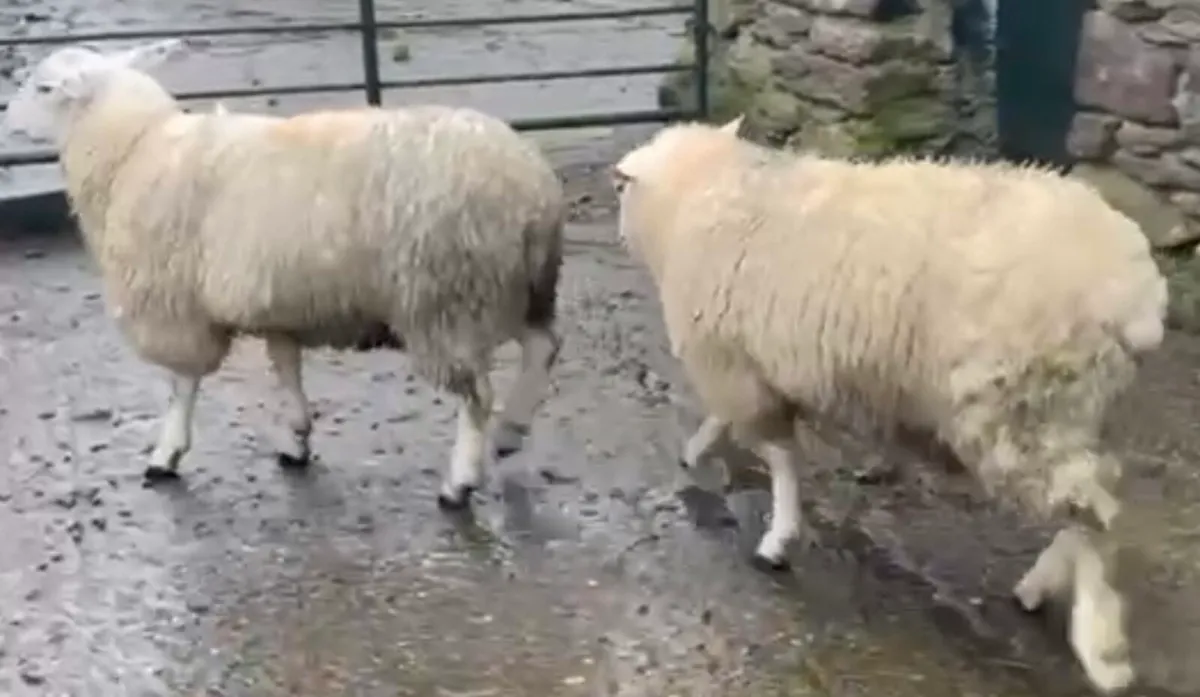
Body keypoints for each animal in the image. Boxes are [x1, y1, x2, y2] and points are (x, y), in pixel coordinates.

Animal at [2, 39, 565, 510]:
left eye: (44, 88)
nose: (6, 119)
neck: (134, 150)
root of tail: (529, 187)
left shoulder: (174, 302)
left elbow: (182, 383)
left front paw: (166, 453)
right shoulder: (278, 300)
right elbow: (286, 367)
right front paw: (297, 437)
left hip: (446, 298)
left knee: (477, 395)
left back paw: (460, 481)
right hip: (515, 287)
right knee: (543, 348)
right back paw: (511, 432)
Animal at [610, 115, 1169, 694]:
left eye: (621, 190)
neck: (706, 192)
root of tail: (1136, 297)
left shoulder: (735, 368)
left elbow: (781, 460)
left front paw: (777, 538)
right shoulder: (746, 370)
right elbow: (740, 431)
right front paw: (699, 450)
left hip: (1023, 411)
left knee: (1096, 512)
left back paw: (1101, 647)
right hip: (1080, 413)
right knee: (1092, 502)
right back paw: (1039, 586)